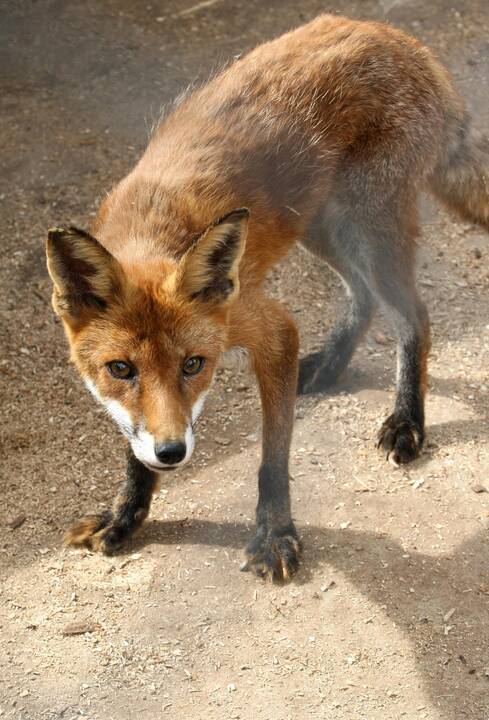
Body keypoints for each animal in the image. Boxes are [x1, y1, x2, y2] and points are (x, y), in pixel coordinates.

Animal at [45, 14, 488, 584]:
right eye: (120, 369)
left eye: (194, 364)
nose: (173, 452)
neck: (153, 230)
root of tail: (398, 37)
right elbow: (134, 451)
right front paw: (127, 515)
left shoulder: (269, 327)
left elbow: (272, 458)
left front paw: (275, 535)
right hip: (322, 225)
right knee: (363, 295)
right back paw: (330, 366)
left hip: (370, 227)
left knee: (413, 315)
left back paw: (407, 420)